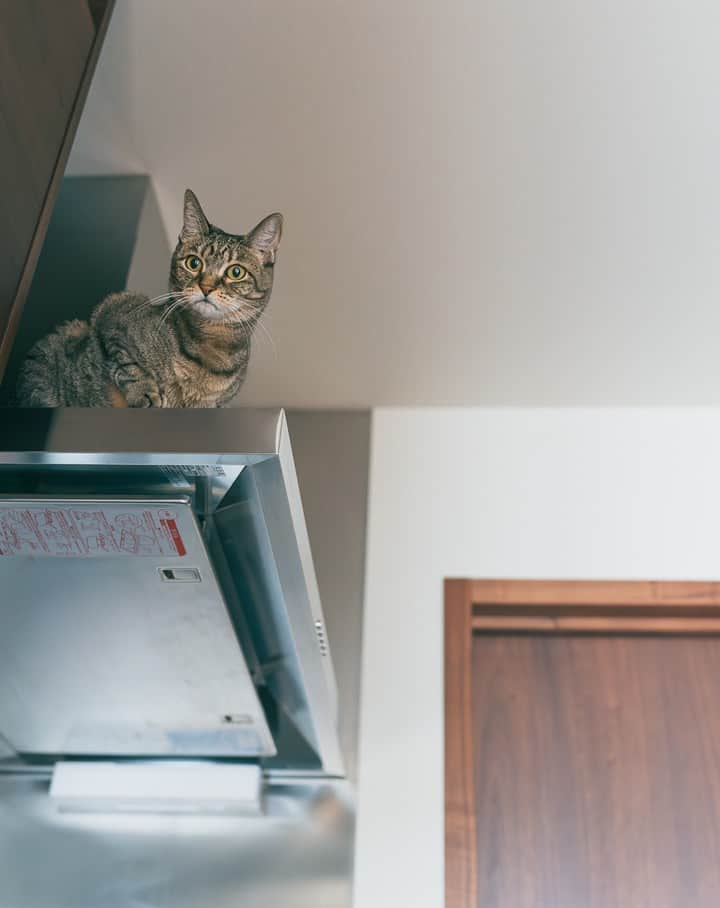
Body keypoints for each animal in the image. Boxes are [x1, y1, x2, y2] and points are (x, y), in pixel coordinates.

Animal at [15, 192, 282, 408]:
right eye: (194, 262)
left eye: (235, 272)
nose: (205, 287)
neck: (211, 347)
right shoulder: (114, 309)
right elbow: (128, 364)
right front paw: (143, 392)